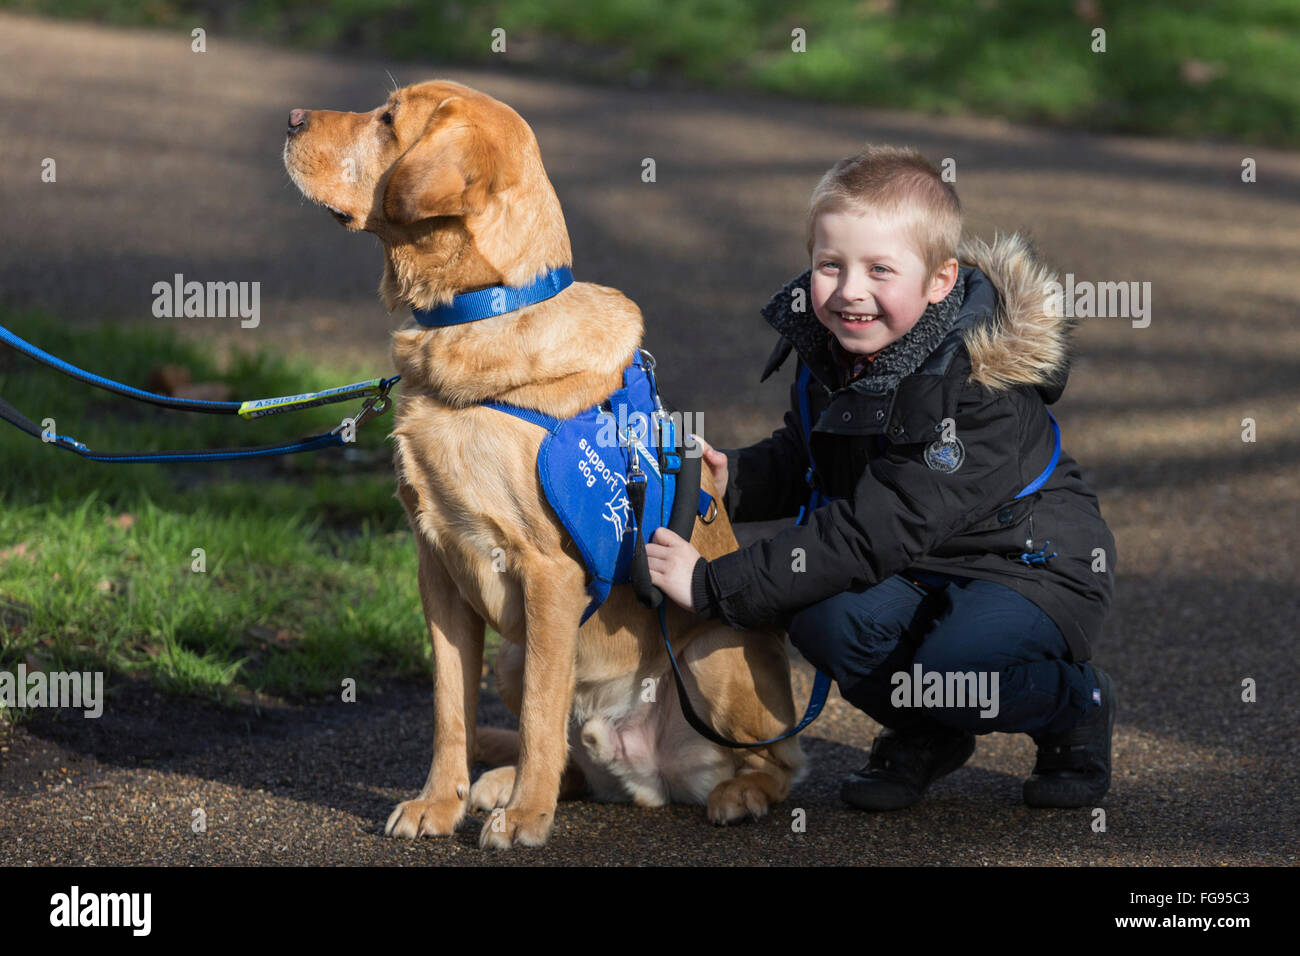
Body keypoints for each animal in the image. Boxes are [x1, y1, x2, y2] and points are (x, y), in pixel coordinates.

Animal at [284, 78, 800, 848]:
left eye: (387, 119)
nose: (289, 118)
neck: (475, 316)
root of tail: (649, 778)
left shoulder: (549, 575)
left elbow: (536, 716)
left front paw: (527, 818)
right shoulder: (437, 568)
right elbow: (450, 710)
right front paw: (439, 803)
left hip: (714, 654)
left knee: (780, 761)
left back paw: (737, 795)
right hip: (511, 655)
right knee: (570, 756)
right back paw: (500, 786)